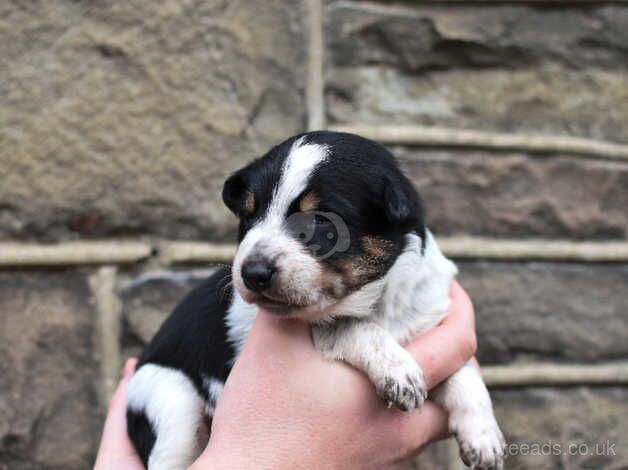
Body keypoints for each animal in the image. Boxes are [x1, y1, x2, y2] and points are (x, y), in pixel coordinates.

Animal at [126, 131, 506, 470]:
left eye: (320, 221)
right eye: (248, 216)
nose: (252, 273)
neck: (378, 302)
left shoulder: (431, 323)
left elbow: (464, 372)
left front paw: (483, 435)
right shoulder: (323, 330)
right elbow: (354, 327)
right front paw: (398, 369)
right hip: (167, 401)